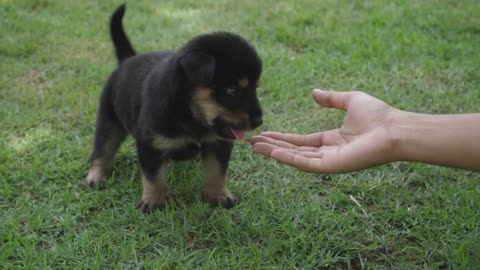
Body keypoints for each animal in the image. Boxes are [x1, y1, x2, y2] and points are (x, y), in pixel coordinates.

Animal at [83, 3, 262, 212]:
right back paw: (96, 176)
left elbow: (217, 172)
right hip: (108, 117)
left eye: (255, 88)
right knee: (103, 148)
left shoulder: (218, 144)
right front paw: (152, 202)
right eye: (233, 90)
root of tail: (128, 59)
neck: (190, 116)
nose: (259, 121)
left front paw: (219, 196)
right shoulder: (149, 145)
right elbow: (153, 178)